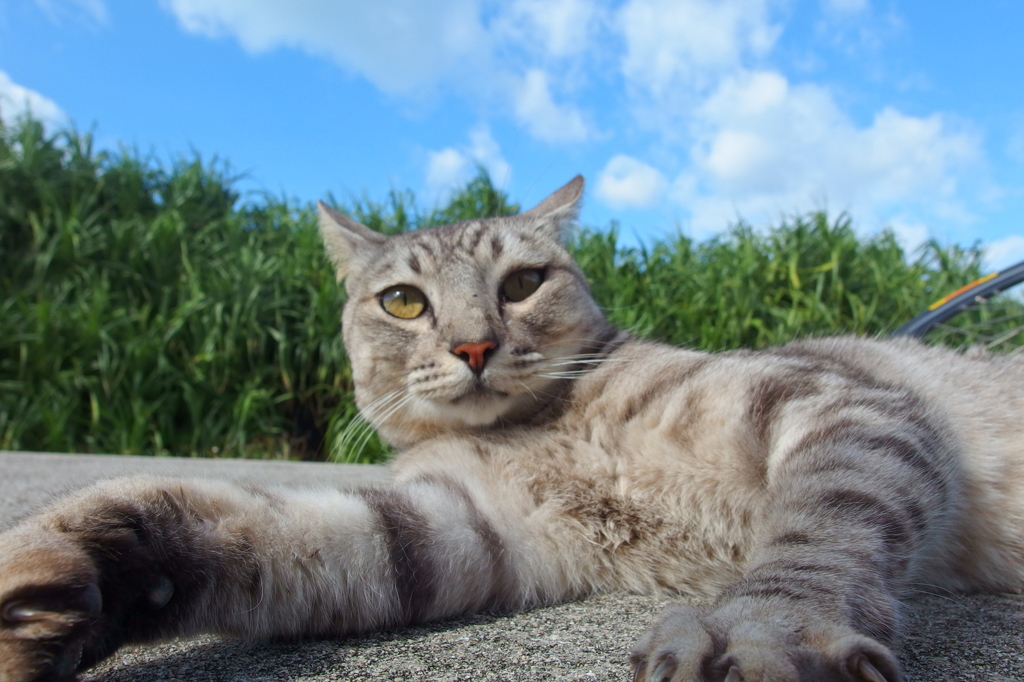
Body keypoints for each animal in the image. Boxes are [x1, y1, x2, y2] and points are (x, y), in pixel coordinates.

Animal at [2, 178, 1024, 679]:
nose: (474, 345)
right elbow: (247, 529)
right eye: (402, 301)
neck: (536, 430)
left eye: (525, 282)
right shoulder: (463, 527)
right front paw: (75, 563)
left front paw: (766, 632)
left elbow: (818, 531)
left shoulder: (837, 405)